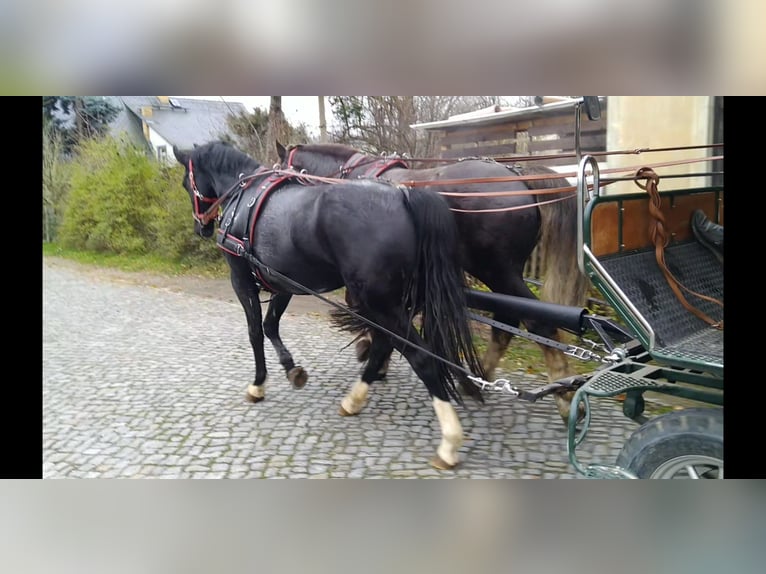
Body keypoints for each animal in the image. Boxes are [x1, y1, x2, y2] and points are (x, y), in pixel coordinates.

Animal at [175, 142, 486, 470]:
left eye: (186, 183)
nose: (201, 227)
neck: (244, 192)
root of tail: (403, 195)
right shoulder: (284, 282)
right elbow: (271, 325)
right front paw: (291, 368)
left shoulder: (241, 280)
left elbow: (255, 333)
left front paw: (258, 385)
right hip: (389, 303)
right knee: (384, 345)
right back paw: (354, 399)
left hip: (379, 302)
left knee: (420, 356)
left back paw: (449, 442)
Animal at [280, 143, 592, 424]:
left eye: (284, 166)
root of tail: (518, 176)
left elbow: (370, 315)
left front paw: (371, 354)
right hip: (501, 274)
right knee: (508, 322)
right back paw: (478, 378)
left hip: (498, 271)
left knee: (538, 324)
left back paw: (564, 399)